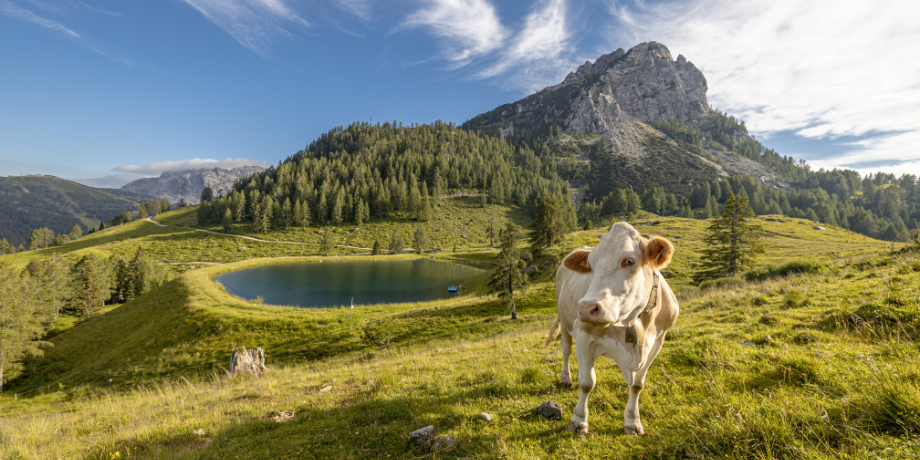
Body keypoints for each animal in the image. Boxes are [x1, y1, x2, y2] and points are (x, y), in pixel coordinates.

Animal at [544, 222, 680, 434]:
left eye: (629, 260)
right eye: (590, 265)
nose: (586, 308)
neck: (633, 321)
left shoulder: (657, 341)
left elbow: (637, 385)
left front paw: (632, 422)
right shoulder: (583, 334)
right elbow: (587, 383)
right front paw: (579, 420)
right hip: (565, 321)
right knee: (566, 350)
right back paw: (566, 378)